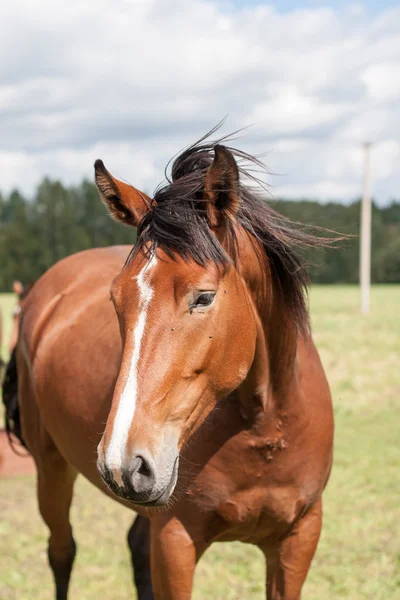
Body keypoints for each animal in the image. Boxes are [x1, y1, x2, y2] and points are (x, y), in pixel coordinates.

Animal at [3, 137, 334, 600]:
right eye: (115, 299)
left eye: (204, 297)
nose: (123, 462)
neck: (264, 429)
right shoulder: (175, 540)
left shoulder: (299, 538)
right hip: (51, 469)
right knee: (62, 553)